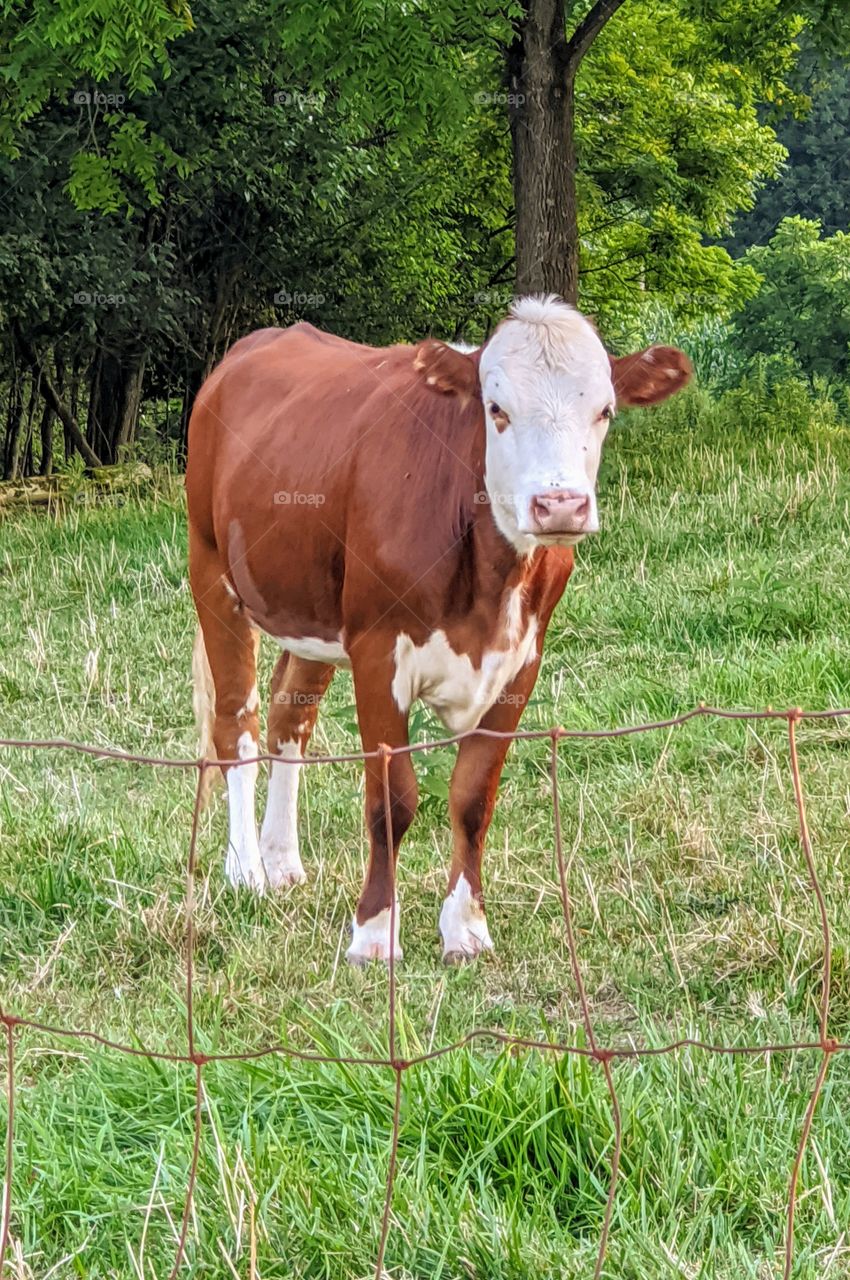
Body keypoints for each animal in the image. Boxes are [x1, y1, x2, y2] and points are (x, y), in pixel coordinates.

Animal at [186, 296, 691, 964]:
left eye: (604, 410)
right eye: (496, 410)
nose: (560, 505)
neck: (488, 585)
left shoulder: (520, 662)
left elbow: (474, 798)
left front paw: (467, 929)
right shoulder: (377, 651)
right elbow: (391, 800)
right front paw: (374, 934)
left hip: (311, 609)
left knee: (289, 714)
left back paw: (282, 859)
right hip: (212, 572)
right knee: (235, 724)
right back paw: (245, 869)